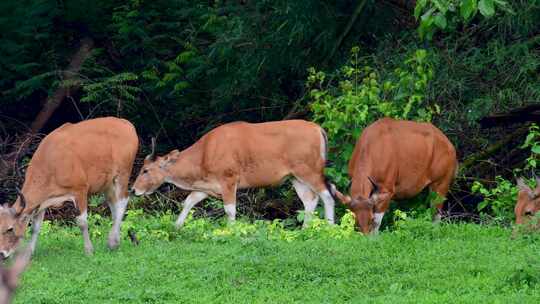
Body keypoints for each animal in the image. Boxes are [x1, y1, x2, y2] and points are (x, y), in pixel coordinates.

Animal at [0, 117, 138, 256]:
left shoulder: (80, 190)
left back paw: (113, 241)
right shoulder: (42, 200)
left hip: (122, 174)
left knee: (122, 202)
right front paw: (29, 252)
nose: (2, 253)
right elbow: (35, 227)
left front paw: (89, 250)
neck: (51, 163)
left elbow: (82, 222)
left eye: (10, 229)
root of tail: (127, 124)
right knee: (114, 205)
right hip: (108, 183)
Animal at [131, 120, 336, 227]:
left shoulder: (228, 180)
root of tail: (318, 129)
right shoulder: (207, 186)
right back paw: (305, 229)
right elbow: (189, 201)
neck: (205, 154)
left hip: (310, 171)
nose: (133, 190)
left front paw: (231, 230)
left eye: (145, 170)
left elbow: (229, 209)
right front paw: (176, 226)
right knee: (310, 200)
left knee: (327, 195)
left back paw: (330, 226)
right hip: (295, 177)